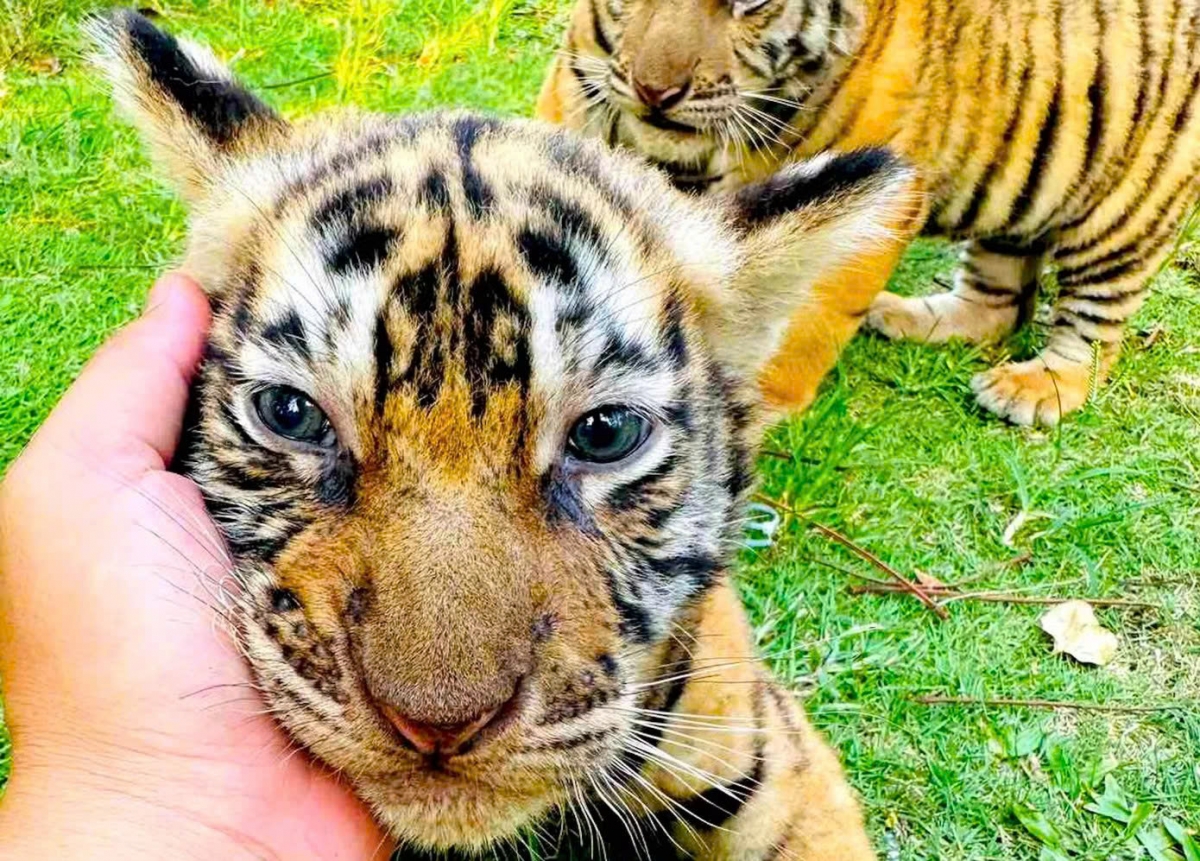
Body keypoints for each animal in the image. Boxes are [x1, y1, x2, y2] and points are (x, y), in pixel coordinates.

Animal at [538, 0, 1200, 426]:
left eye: (751, 2)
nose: (656, 91)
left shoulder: (883, 185)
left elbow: (806, 319)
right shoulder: (576, 85)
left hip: (1122, 218)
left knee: (1094, 331)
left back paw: (1037, 387)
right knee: (1000, 307)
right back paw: (904, 317)